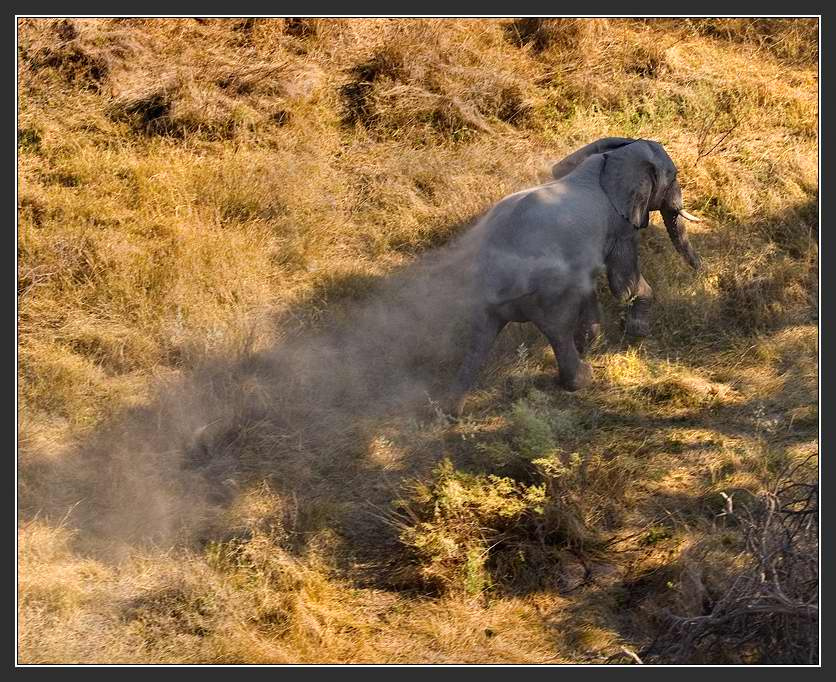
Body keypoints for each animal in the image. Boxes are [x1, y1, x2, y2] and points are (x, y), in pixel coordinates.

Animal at [445, 137, 702, 415]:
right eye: (674, 176)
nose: (702, 270)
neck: (612, 158)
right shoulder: (620, 226)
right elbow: (622, 283)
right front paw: (637, 332)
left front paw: (594, 343)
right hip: (546, 289)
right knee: (557, 327)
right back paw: (582, 378)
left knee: (480, 336)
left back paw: (451, 411)